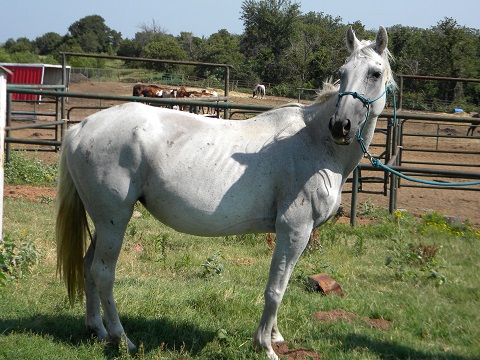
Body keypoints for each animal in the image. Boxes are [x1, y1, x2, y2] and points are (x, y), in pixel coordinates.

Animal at [56, 26, 394, 360]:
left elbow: (281, 284)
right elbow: (276, 289)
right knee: (103, 273)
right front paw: (265, 345)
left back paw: (98, 331)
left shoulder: (297, 233)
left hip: (103, 222)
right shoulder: (294, 229)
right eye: (342, 72)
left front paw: (275, 336)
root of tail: (81, 127)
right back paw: (122, 339)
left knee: (88, 267)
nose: (340, 126)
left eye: (375, 73)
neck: (314, 142)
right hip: (114, 220)